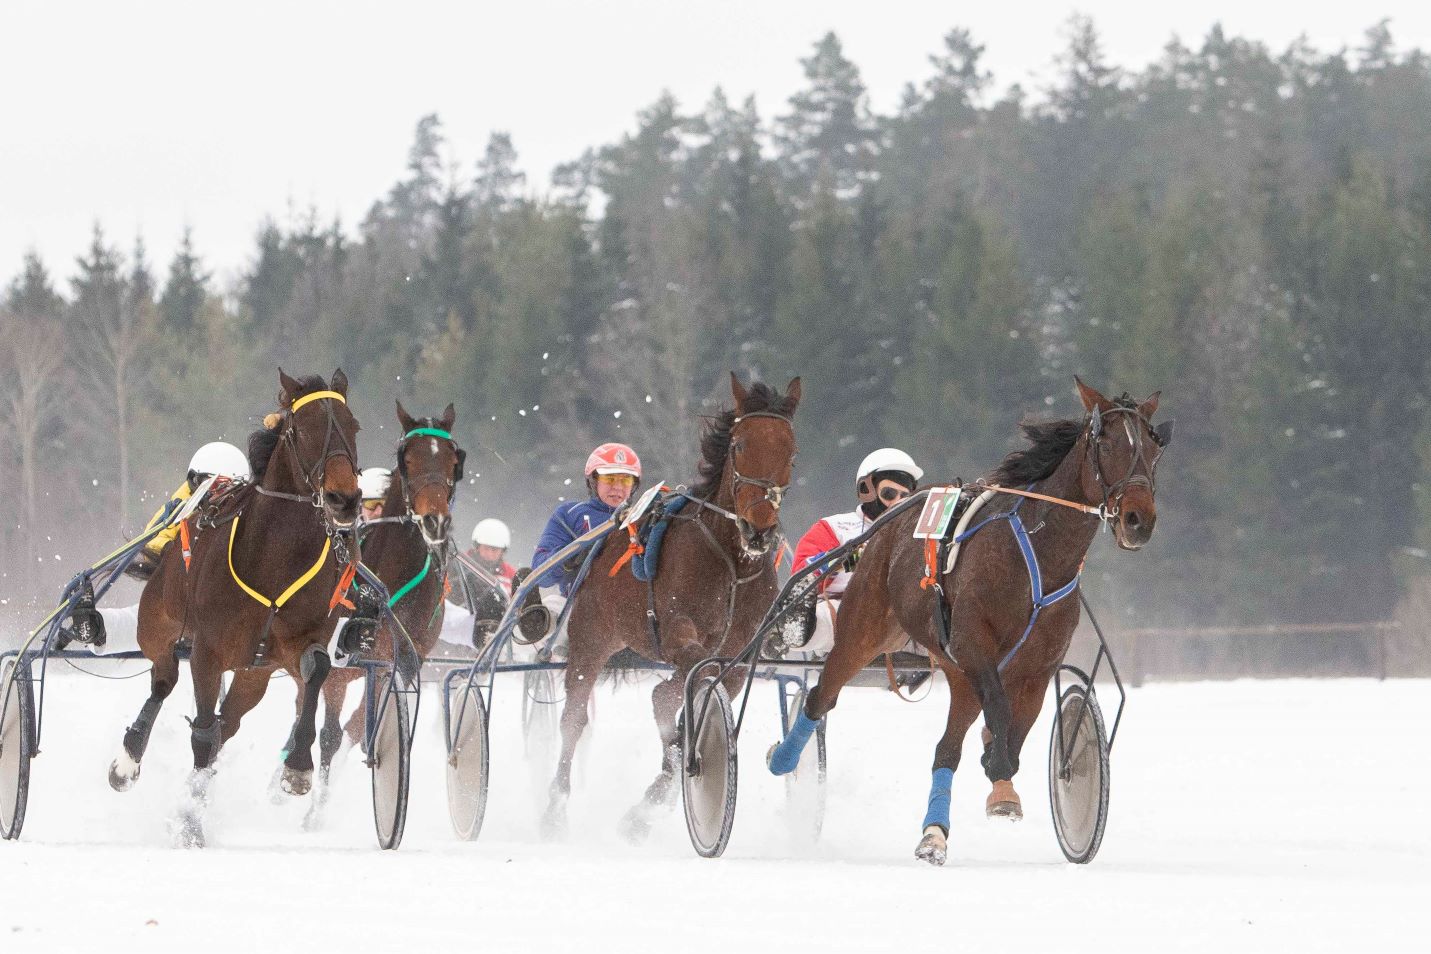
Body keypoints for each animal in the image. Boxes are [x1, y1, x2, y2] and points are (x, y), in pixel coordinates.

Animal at [772, 377, 1173, 863]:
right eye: (1108, 442)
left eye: (1153, 449)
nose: (1138, 519)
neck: (1037, 556)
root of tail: (888, 527)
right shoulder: (973, 645)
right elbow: (999, 710)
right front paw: (997, 768)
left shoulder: (1036, 667)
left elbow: (1018, 727)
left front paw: (1001, 780)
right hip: (863, 630)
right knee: (819, 697)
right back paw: (786, 759)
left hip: (954, 672)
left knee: (945, 750)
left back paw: (934, 834)